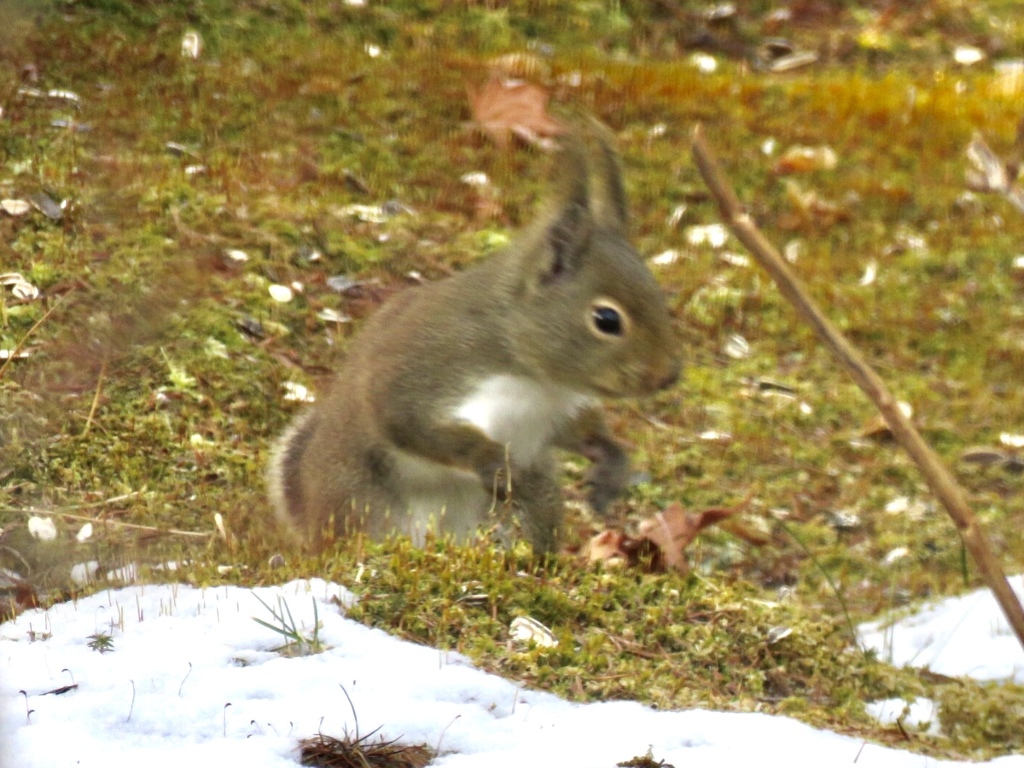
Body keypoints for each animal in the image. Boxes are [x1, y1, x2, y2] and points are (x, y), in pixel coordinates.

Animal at [268, 120, 679, 552]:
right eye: (607, 319)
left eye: (658, 294)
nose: (669, 374)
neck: (537, 378)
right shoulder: (427, 369)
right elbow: (409, 421)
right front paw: (492, 462)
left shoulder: (558, 410)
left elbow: (583, 431)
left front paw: (611, 463)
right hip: (362, 503)